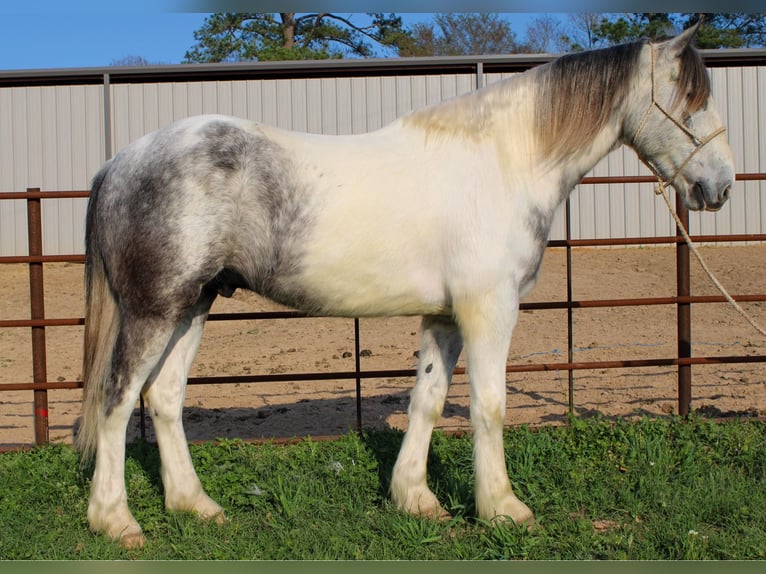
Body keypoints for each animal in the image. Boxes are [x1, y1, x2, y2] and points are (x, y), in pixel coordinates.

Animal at [77, 23, 734, 548]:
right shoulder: (490, 311)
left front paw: (416, 499)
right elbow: (489, 406)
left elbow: (429, 400)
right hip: (153, 311)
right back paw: (116, 521)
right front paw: (503, 509)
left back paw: (196, 506)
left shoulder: (445, 316)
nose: (721, 185)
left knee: (163, 398)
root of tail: (119, 162)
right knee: (116, 399)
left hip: (193, 304)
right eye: (692, 99)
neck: (504, 163)